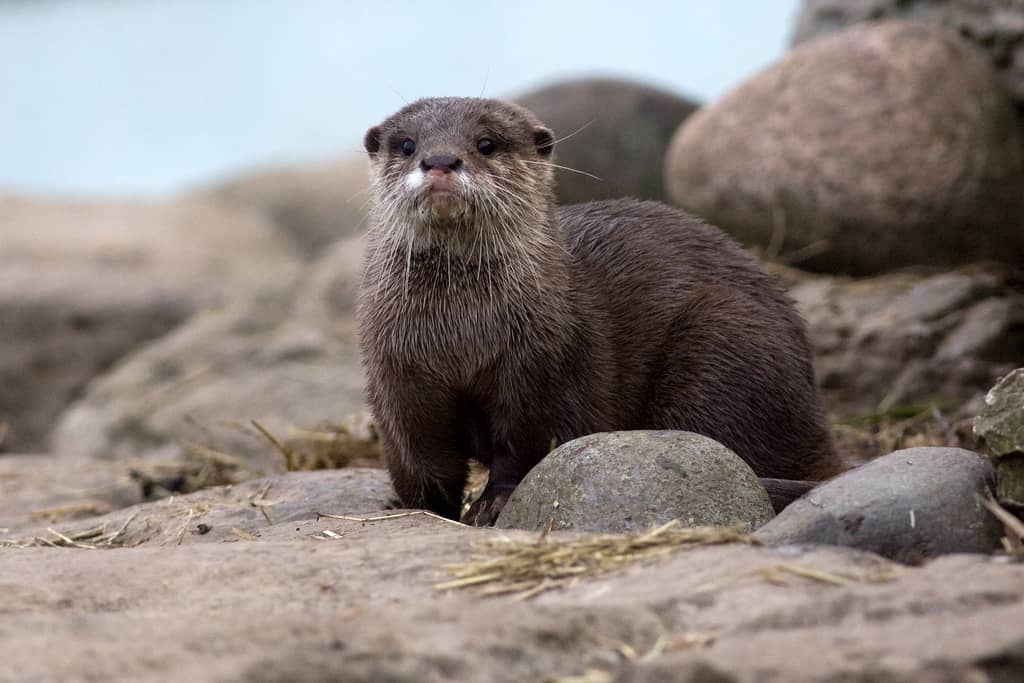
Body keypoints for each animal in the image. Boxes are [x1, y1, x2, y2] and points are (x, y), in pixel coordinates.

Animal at [358, 96, 839, 528]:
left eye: (486, 143)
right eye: (407, 145)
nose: (440, 160)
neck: (460, 338)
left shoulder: (544, 370)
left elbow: (524, 450)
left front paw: (494, 505)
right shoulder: (398, 381)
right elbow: (423, 460)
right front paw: (423, 510)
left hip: (721, 348)